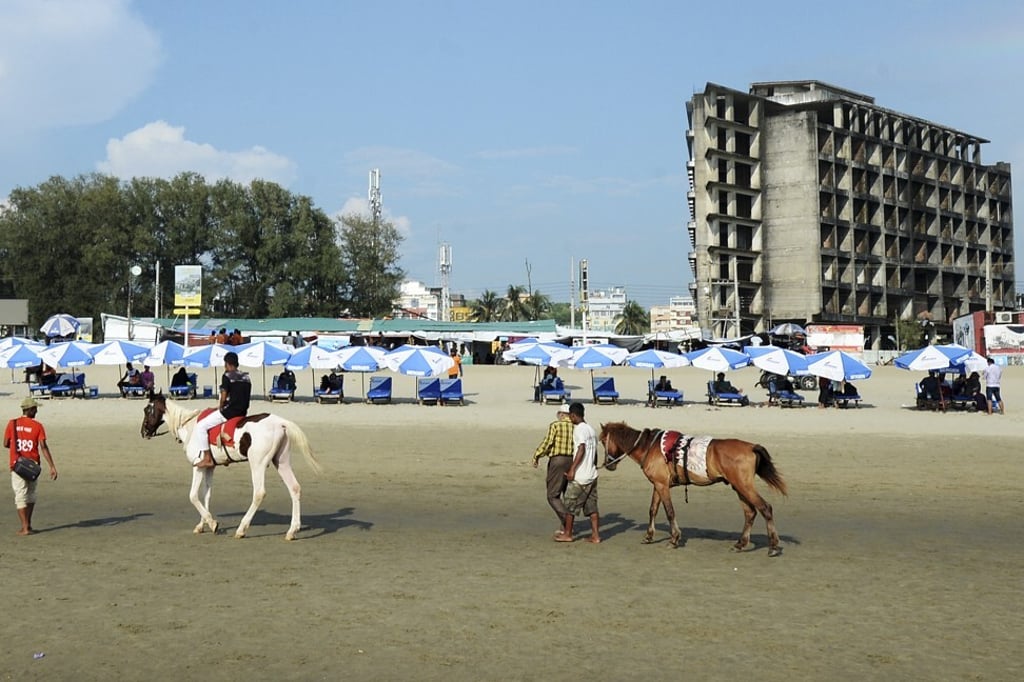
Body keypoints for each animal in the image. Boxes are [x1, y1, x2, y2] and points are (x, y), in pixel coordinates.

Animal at [141, 392, 322, 540]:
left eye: (147, 410)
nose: (143, 432)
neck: (190, 427)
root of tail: (280, 422)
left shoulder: (198, 466)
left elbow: (193, 496)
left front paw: (212, 524)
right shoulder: (209, 467)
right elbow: (206, 495)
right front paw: (203, 524)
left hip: (257, 464)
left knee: (259, 493)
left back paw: (242, 529)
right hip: (281, 462)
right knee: (294, 488)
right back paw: (292, 530)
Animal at [599, 421, 787, 557]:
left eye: (602, 441)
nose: (608, 465)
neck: (649, 447)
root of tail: (751, 446)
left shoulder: (662, 486)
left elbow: (669, 512)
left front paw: (674, 538)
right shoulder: (658, 485)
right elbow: (653, 510)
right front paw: (649, 536)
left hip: (744, 486)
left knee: (765, 508)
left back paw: (773, 546)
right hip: (739, 487)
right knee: (750, 513)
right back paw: (740, 544)